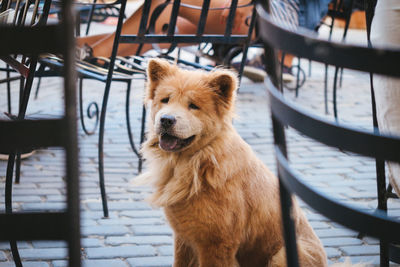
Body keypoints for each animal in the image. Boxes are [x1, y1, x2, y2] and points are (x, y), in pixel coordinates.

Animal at [136, 59, 360, 267]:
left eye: (193, 106)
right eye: (165, 100)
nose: (166, 119)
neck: (199, 162)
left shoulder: (216, 245)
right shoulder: (184, 239)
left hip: (283, 254)